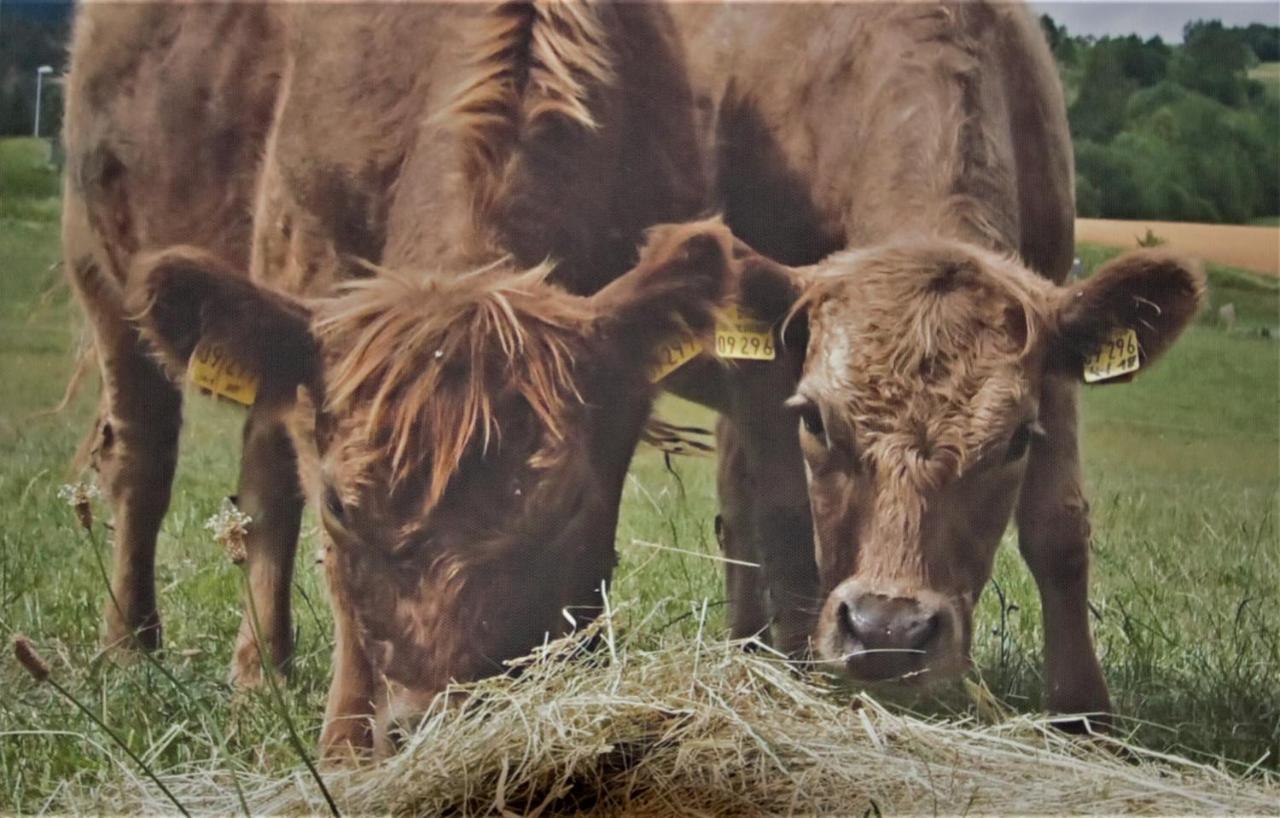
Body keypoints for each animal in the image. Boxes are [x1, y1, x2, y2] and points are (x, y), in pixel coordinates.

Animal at [70, 0, 727, 757]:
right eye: (339, 505)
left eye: (562, 503)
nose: (428, 721)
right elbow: (337, 576)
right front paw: (345, 747)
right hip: (98, 267)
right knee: (144, 460)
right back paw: (131, 648)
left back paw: (260, 672)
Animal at [665, 0, 1203, 721]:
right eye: (815, 421)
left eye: (1016, 440)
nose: (888, 630)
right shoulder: (768, 371)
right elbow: (785, 519)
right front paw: (804, 682)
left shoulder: (1058, 333)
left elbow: (1059, 525)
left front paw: (1083, 714)